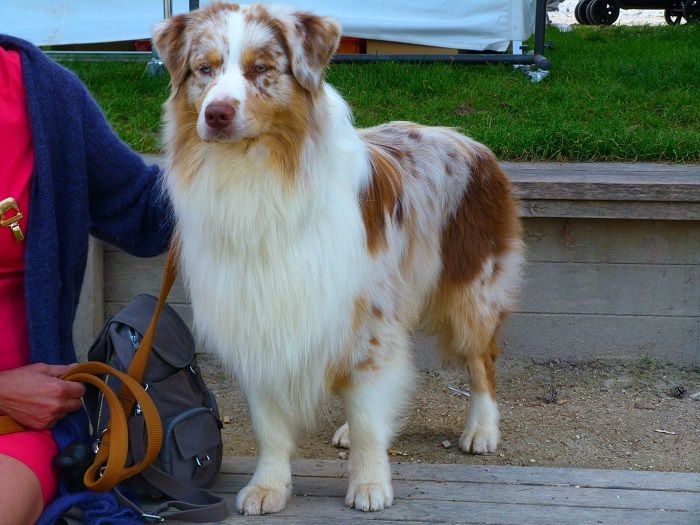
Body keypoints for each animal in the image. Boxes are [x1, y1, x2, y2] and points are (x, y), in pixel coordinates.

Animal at [154, 2, 524, 512]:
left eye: (260, 69)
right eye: (203, 69)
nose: (217, 113)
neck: (254, 175)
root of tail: (469, 140)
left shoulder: (368, 315)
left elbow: (370, 415)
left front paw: (370, 485)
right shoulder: (259, 318)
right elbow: (271, 425)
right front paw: (268, 486)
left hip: (475, 291)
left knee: (482, 361)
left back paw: (482, 429)